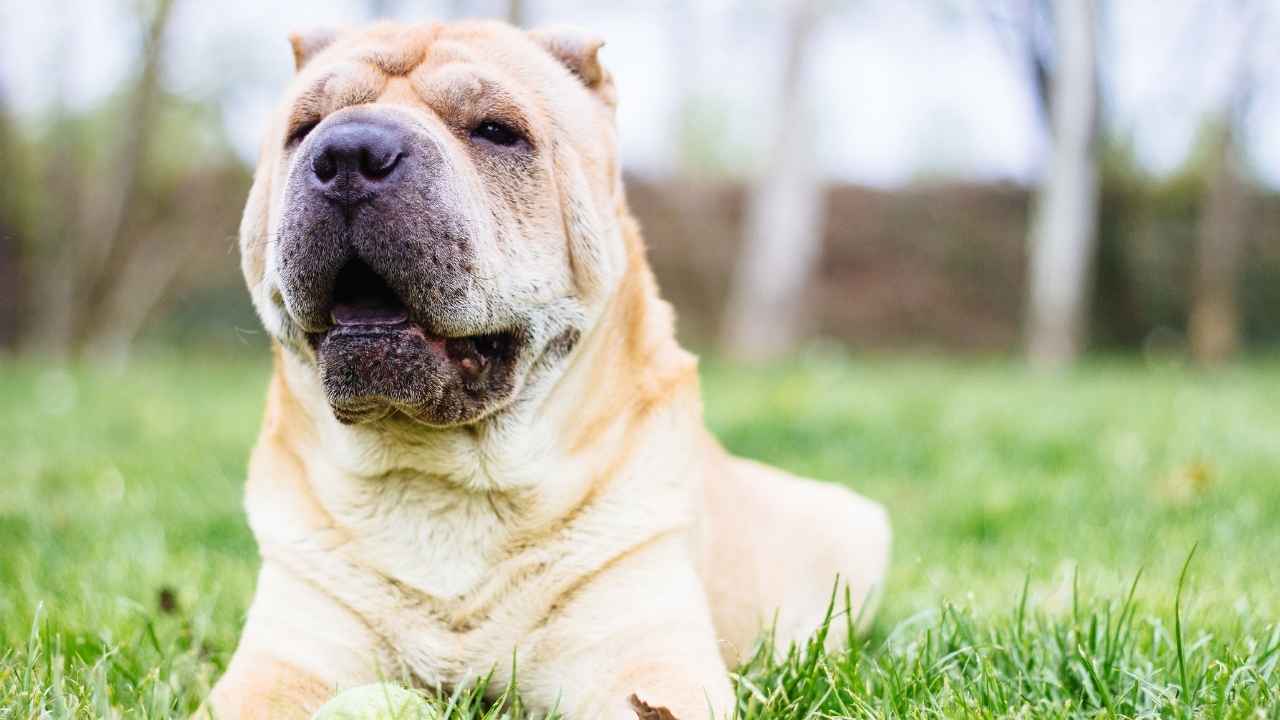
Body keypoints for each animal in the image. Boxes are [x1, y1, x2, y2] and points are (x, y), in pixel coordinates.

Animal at [209, 20, 890, 717]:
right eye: (305, 127)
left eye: (495, 130)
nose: (349, 152)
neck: (441, 482)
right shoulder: (282, 661)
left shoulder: (645, 662)